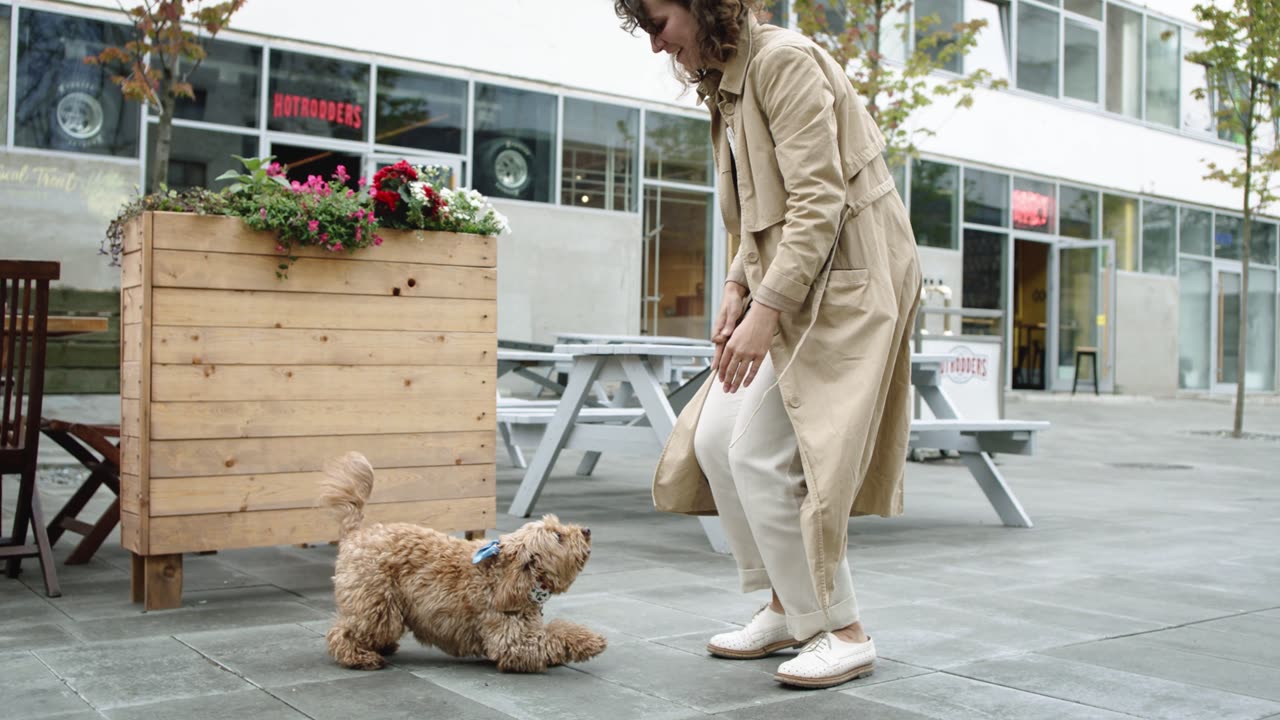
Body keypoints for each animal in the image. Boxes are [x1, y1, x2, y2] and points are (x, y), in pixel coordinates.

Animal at [317, 450, 601, 671]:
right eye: (558, 536)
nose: (587, 530)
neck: (508, 577)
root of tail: (355, 534)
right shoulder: (510, 639)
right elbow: (552, 637)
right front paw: (590, 642)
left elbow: (555, 631)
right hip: (376, 604)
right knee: (343, 632)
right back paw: (360, 657)